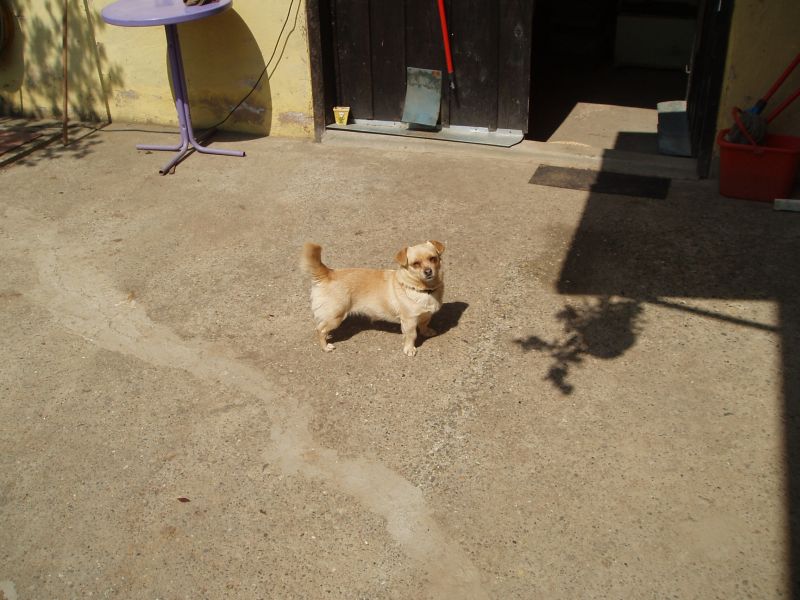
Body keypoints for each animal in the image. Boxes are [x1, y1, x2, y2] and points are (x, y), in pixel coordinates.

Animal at [301, 241, 445, 356]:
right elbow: (411, 335)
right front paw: (409, 349)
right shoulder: (409, 321)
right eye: (415, 264)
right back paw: (325, 347)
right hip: (335, 317)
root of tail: (329, 273)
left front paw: (426, 331)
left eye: (433, 258)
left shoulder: (426, 315)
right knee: (320, 330)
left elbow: (424, 324)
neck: (425, 290)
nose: (428, 271)